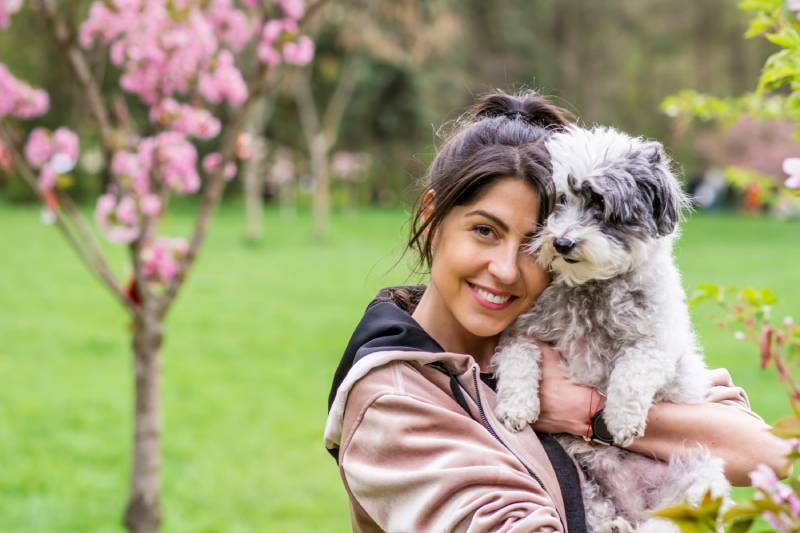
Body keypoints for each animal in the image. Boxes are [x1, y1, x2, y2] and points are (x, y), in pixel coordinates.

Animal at [490, 125, 728, 532]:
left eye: (600, 205)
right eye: (557, 203)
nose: (562, 242)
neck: (591, 286)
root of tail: (636, 505)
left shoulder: (658, 345)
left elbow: (631, 373)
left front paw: (622, 420)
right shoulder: (519, 333)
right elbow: (519, 358)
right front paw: (517, 406)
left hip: (699, 473)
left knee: (670, 519)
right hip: (579, 477)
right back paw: (614, 524)